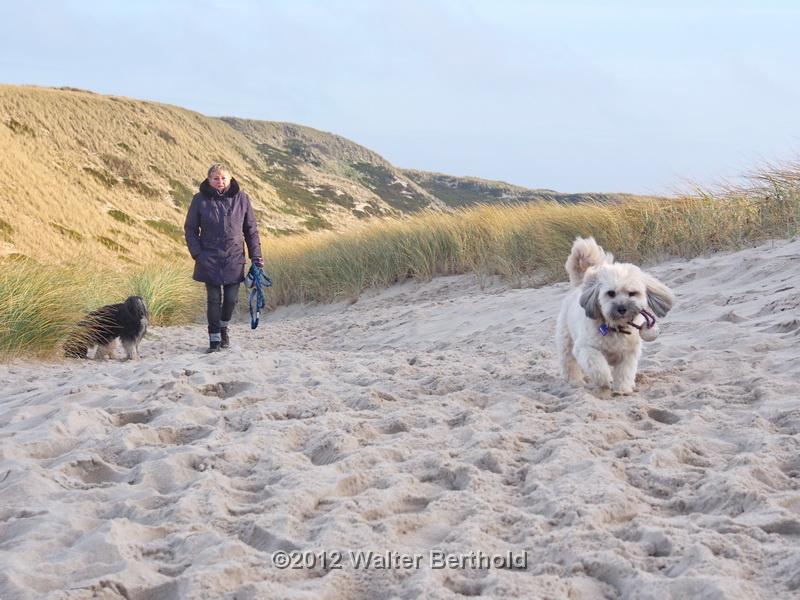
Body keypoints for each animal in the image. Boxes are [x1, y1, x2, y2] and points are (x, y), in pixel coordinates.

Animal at [556, 237, 676, 396]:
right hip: (566, 340)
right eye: (611, 293)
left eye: (632, 293)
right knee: (569, 362)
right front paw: (605, 380)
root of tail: (580, 285)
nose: (622, 308)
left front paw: (622, 389)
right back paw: (575, 382)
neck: (616, 327)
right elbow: (597, 366)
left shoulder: (629, 353)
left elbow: (625, 372)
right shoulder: (585, 347)